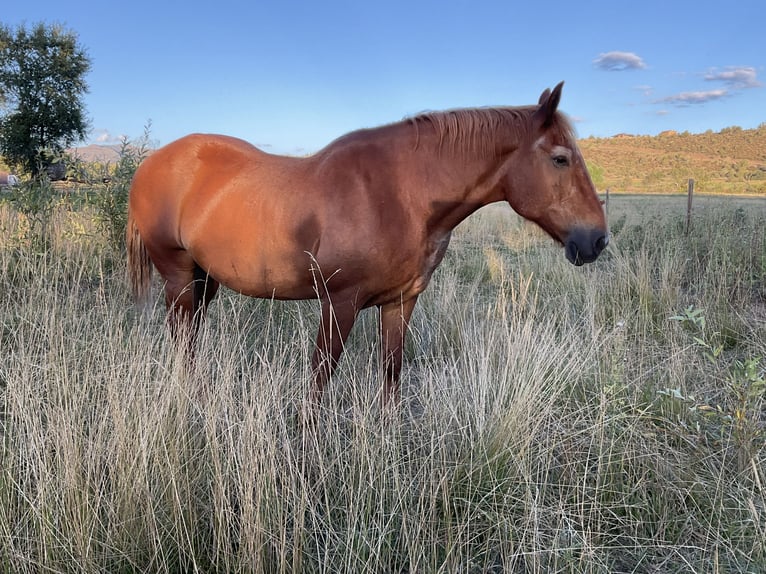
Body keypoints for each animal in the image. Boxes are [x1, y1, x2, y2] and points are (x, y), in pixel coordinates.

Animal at [129, 83, 608, 408]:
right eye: (560, 159)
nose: (597, 240)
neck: (400, 194)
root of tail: (152, 163)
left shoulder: (400, 301)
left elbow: (391, 374)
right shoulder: (339, 302)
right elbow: (320, 380)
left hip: (204, 278)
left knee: (192, 335)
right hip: (177, 274)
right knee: (181, 339)